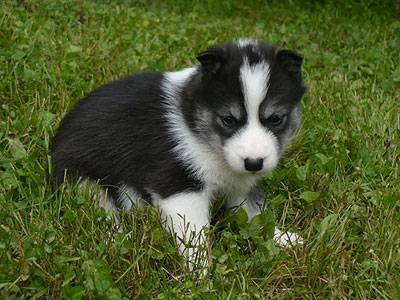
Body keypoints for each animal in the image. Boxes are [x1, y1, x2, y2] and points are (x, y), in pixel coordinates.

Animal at [50, 38, 306, 270]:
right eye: (228, 119)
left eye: (275, 118)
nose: (254, 163)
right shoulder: (179, 186)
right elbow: (195, 236)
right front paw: (201, 275)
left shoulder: (240, 185)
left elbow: (255, 214)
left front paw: (281, 238)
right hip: (83, 184)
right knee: (104, 216)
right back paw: (120, 243)